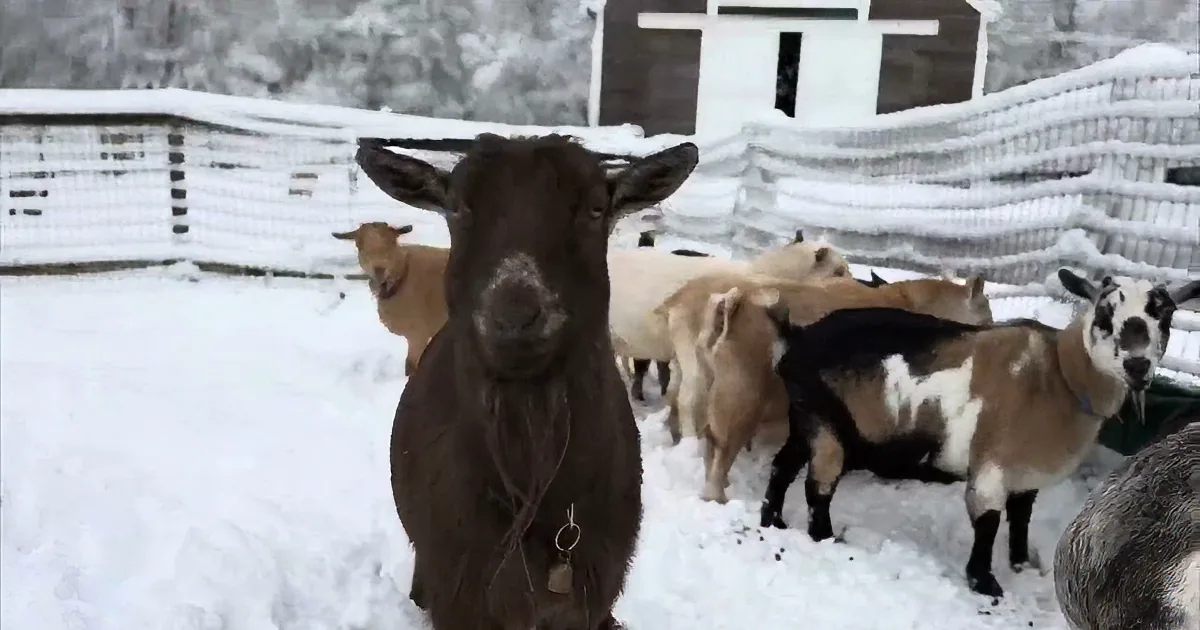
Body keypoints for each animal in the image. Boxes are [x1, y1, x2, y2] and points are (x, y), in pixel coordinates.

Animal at [757, 269, 1200, 598]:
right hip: (826, 426)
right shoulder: (991, 463)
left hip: (806, 417)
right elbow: (987, 522)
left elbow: (1020, 518)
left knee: (783, 467)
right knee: (818, 488)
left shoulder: (1026, 472)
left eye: (1166, 316)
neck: (1058, 375)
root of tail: (797, 337)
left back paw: (772, 520)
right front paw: (985, 583)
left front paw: (1021, 563)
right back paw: (823, 537)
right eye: (1105, 315)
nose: (1138, 366)